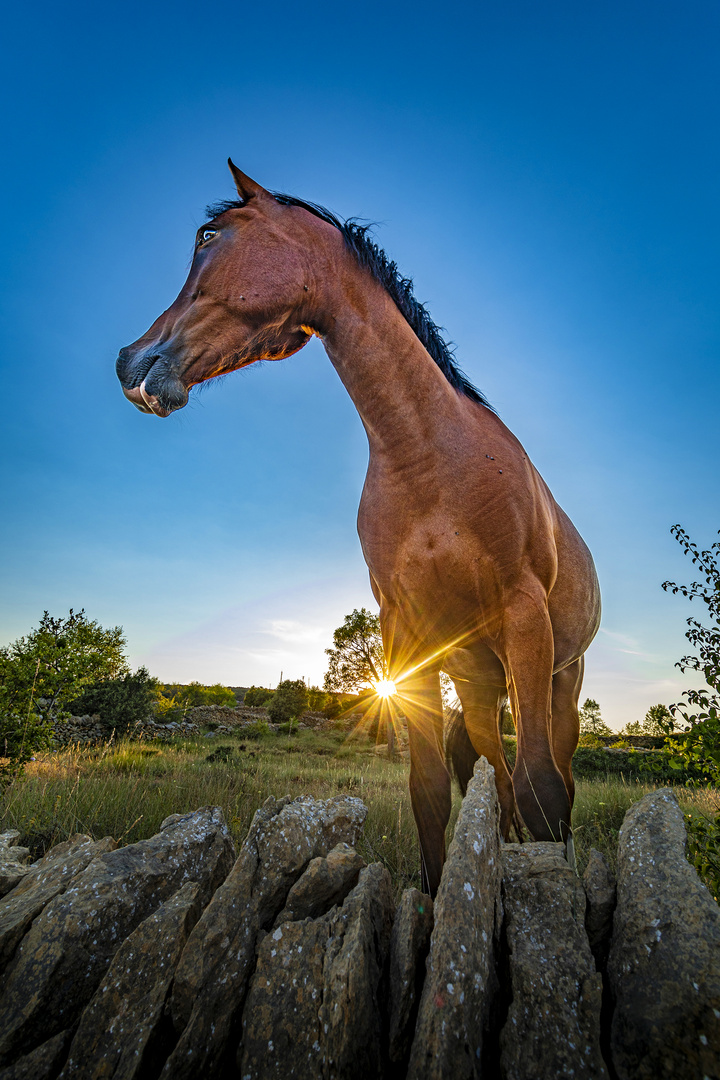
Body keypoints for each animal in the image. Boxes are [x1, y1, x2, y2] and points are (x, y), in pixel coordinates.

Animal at [118, 164, 604, 898]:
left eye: (209, 234)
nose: (130, 361)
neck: (429, 457)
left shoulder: (524, 617)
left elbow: (544, 789)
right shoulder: (406, 630)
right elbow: (430, 788)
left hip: (557, 678)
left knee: (553, 776)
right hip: (479, 678)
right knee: (493, 771)